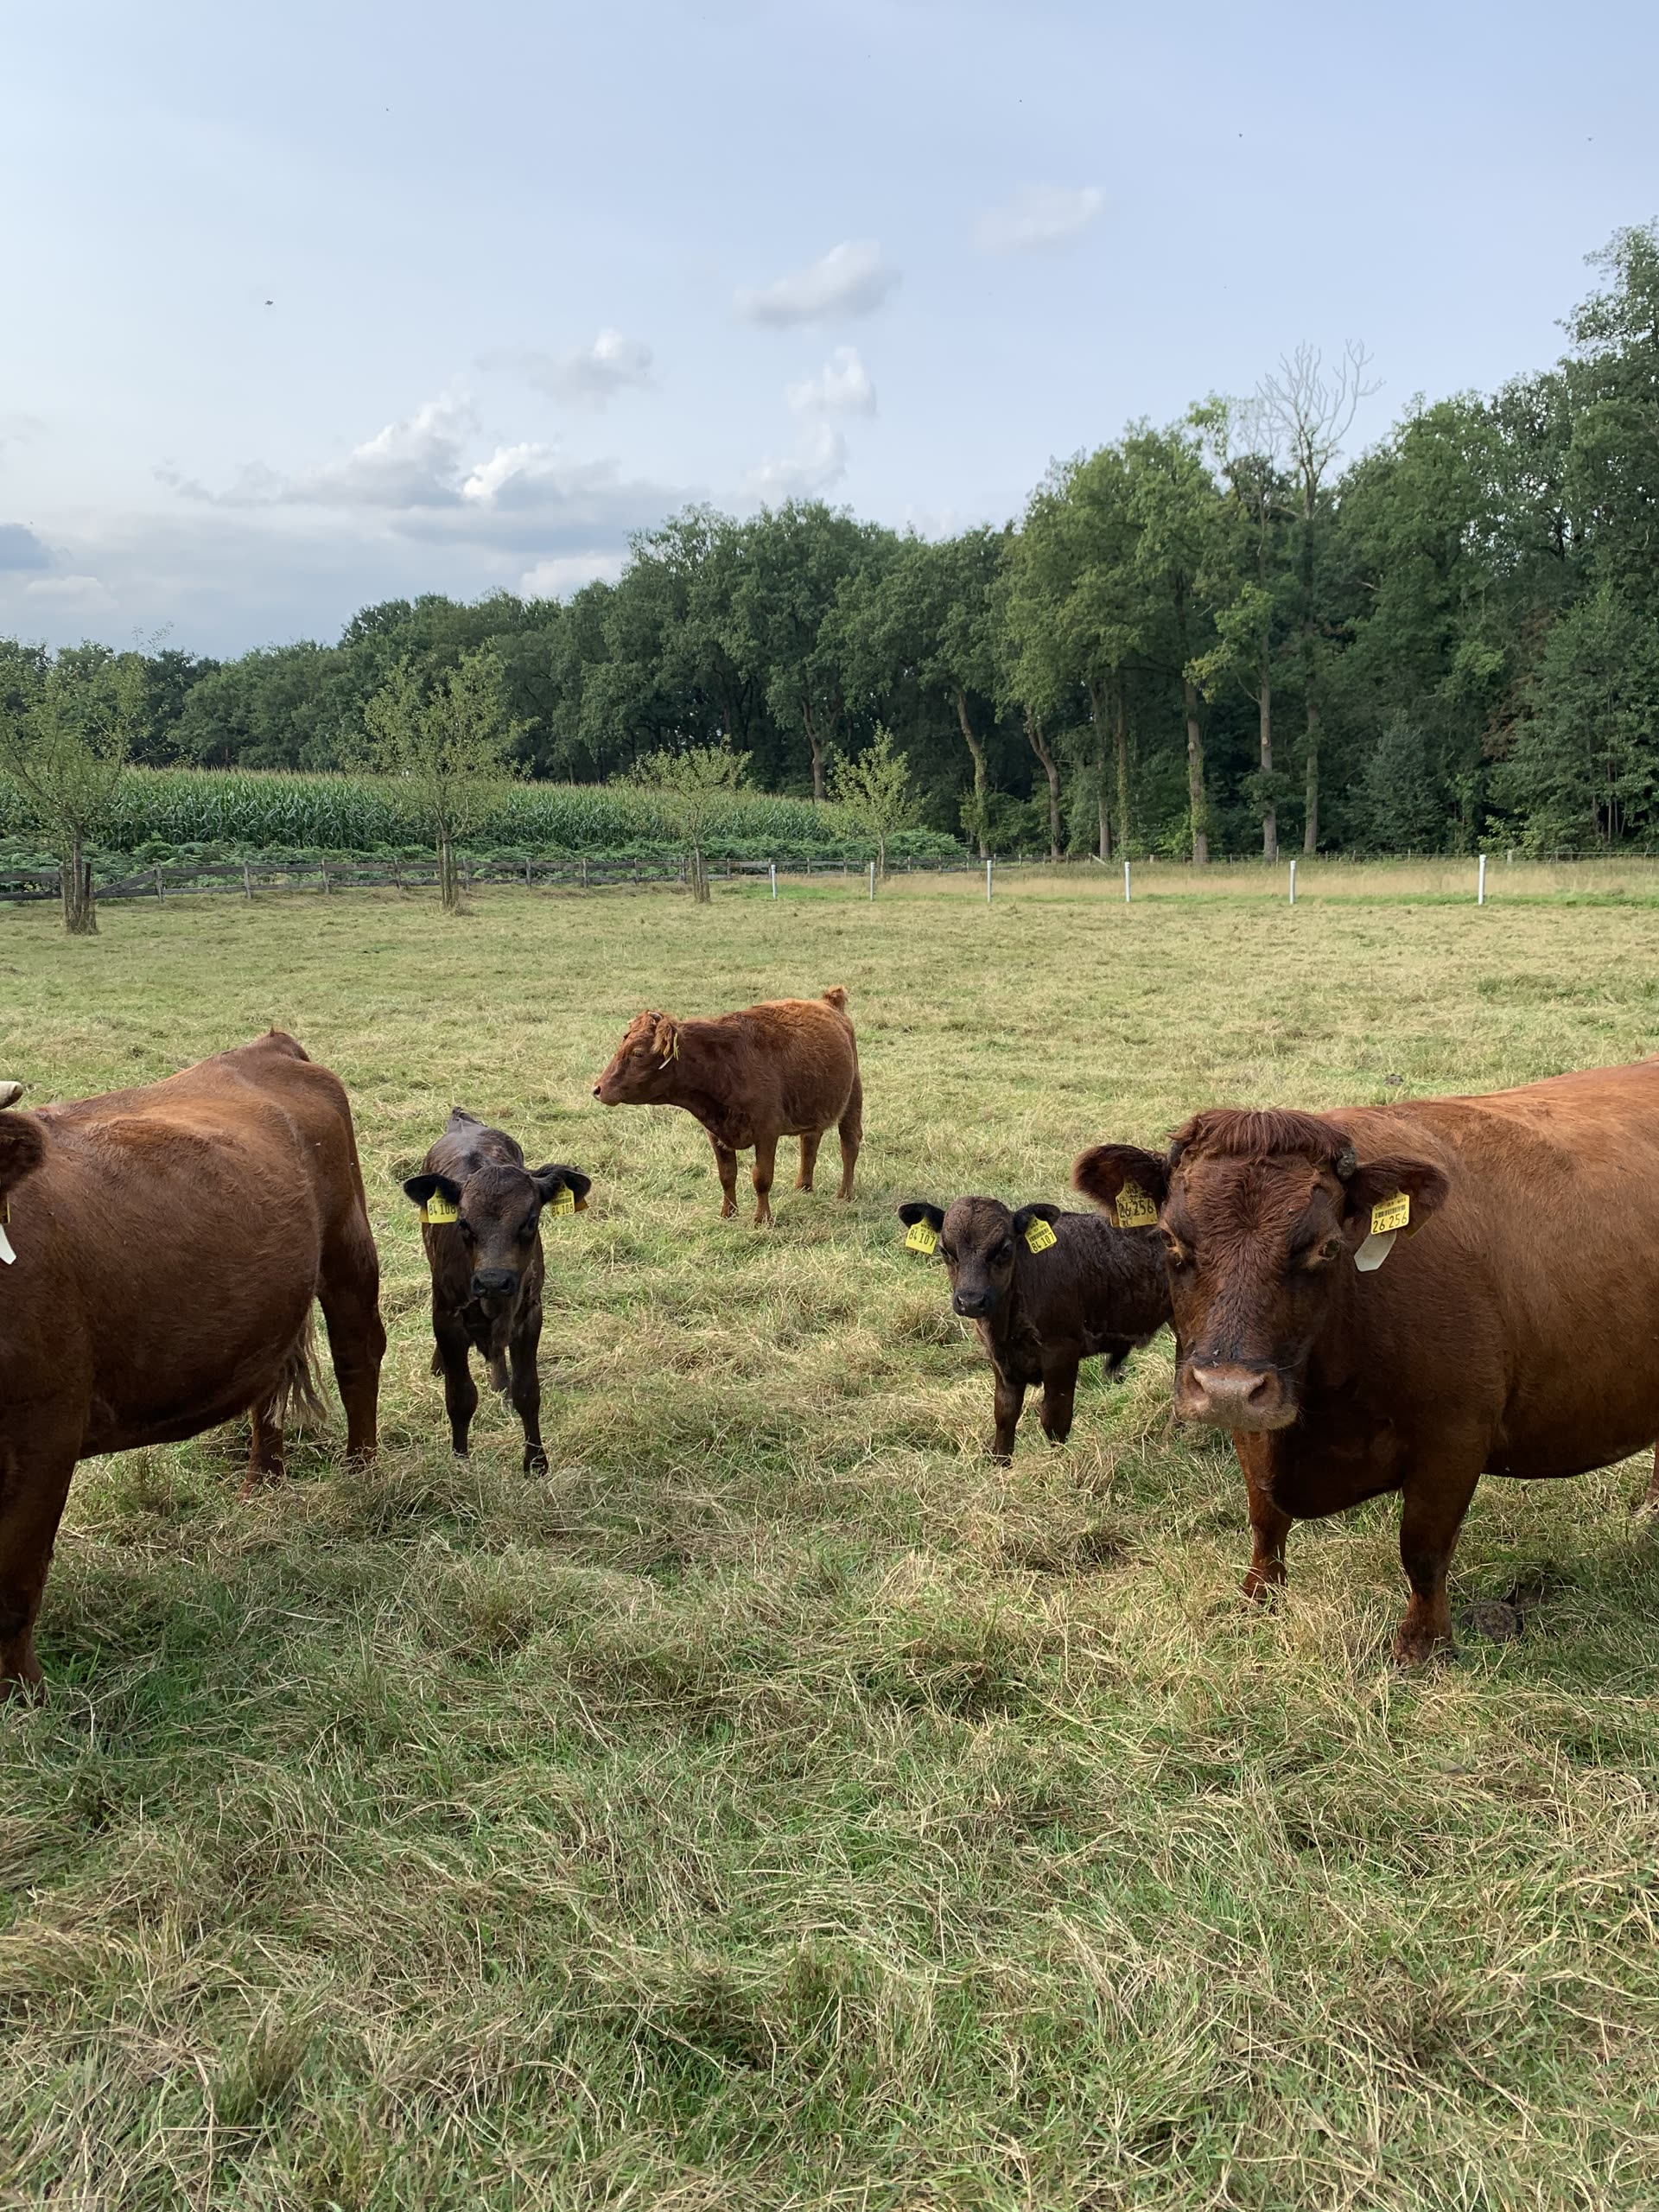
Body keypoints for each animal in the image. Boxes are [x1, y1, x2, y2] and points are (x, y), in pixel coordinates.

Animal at [0, 1031, 385, 1698]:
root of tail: (267, 1046)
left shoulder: (44, 1436)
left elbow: (15, 1586)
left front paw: (24, 1698)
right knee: (268, 1389)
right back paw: (261, 1485)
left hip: (348, 1250)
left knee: (358, 1356)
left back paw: (360, 1476)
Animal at [401, 1109, 592, 1474]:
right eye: (462, 1223)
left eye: (530, 1220)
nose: (493, 1281)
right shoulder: (447, 1315)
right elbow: (460, 1396)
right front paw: (460, 1461)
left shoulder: (529, 1312)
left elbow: (527, 1392)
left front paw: (536, 1463)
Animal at [593, 987, 861, 1227]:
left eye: (638, 1053)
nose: (597, 1089)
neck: (724, 1065)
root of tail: (829, 1003)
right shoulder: (715, 1132)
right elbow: (727, 1175)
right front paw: (727, 1214)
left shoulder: (767, 1132)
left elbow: (762, 1177)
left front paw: (762, 1219)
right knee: (810, 1143)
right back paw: (803, 1188)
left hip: (853, 1098)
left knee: (849, 1145)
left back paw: (845, 1194)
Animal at [897, 1195, 1171, 1462]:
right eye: (944, 1250)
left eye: (1005, 1249)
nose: (971, 1301)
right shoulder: (999, 1360)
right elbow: (1004, 1416)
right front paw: (1001, 1464)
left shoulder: (1061, 1353)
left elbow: (1055, 1419)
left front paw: (1058, 1464)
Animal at [1073, 1057, 1659, 1663]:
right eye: (1168, 1239)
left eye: (1327, 1247)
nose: (1228, 1387)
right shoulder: (1253, 1422)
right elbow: (1264, 1519)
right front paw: (1257, 1599)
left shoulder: (1454, 1439)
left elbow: (1423, 1550)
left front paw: (1422, 1646)